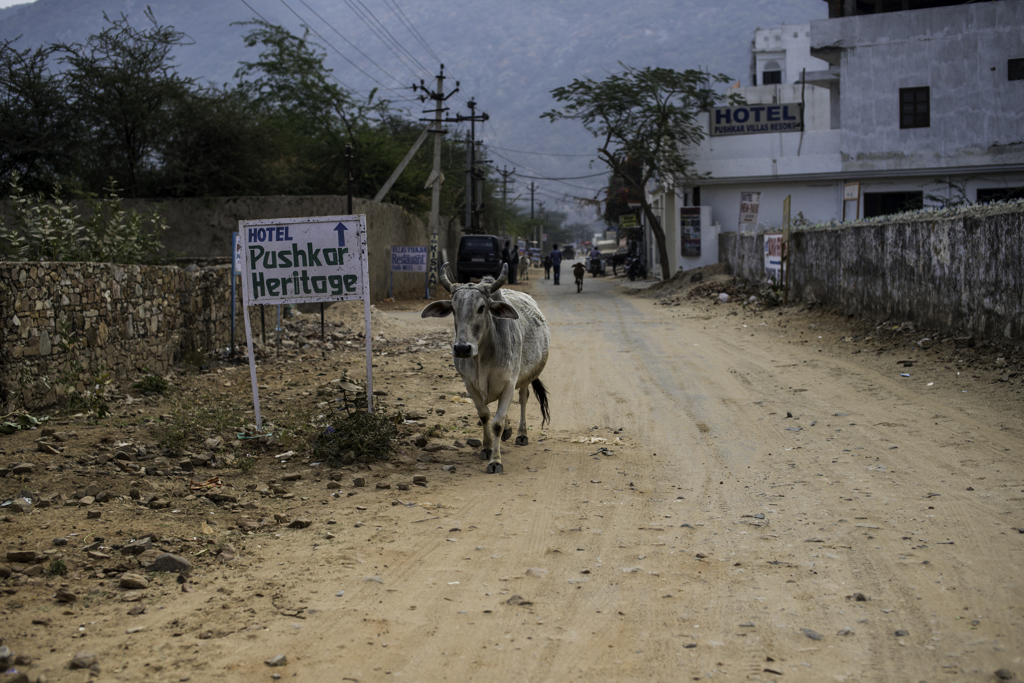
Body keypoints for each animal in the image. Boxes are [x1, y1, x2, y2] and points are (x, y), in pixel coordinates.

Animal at [421, 264, 548, 473]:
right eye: (453, 309)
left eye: (481, 308)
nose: (462, 348)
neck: (483, 358)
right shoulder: (469, 384)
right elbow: (484, 415)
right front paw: (487, 448)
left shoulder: (509, 383)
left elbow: (497, 422)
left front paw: (495, 461)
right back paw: (508, 431)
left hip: (525, 377)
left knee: (523, 398)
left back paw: (521, 434)